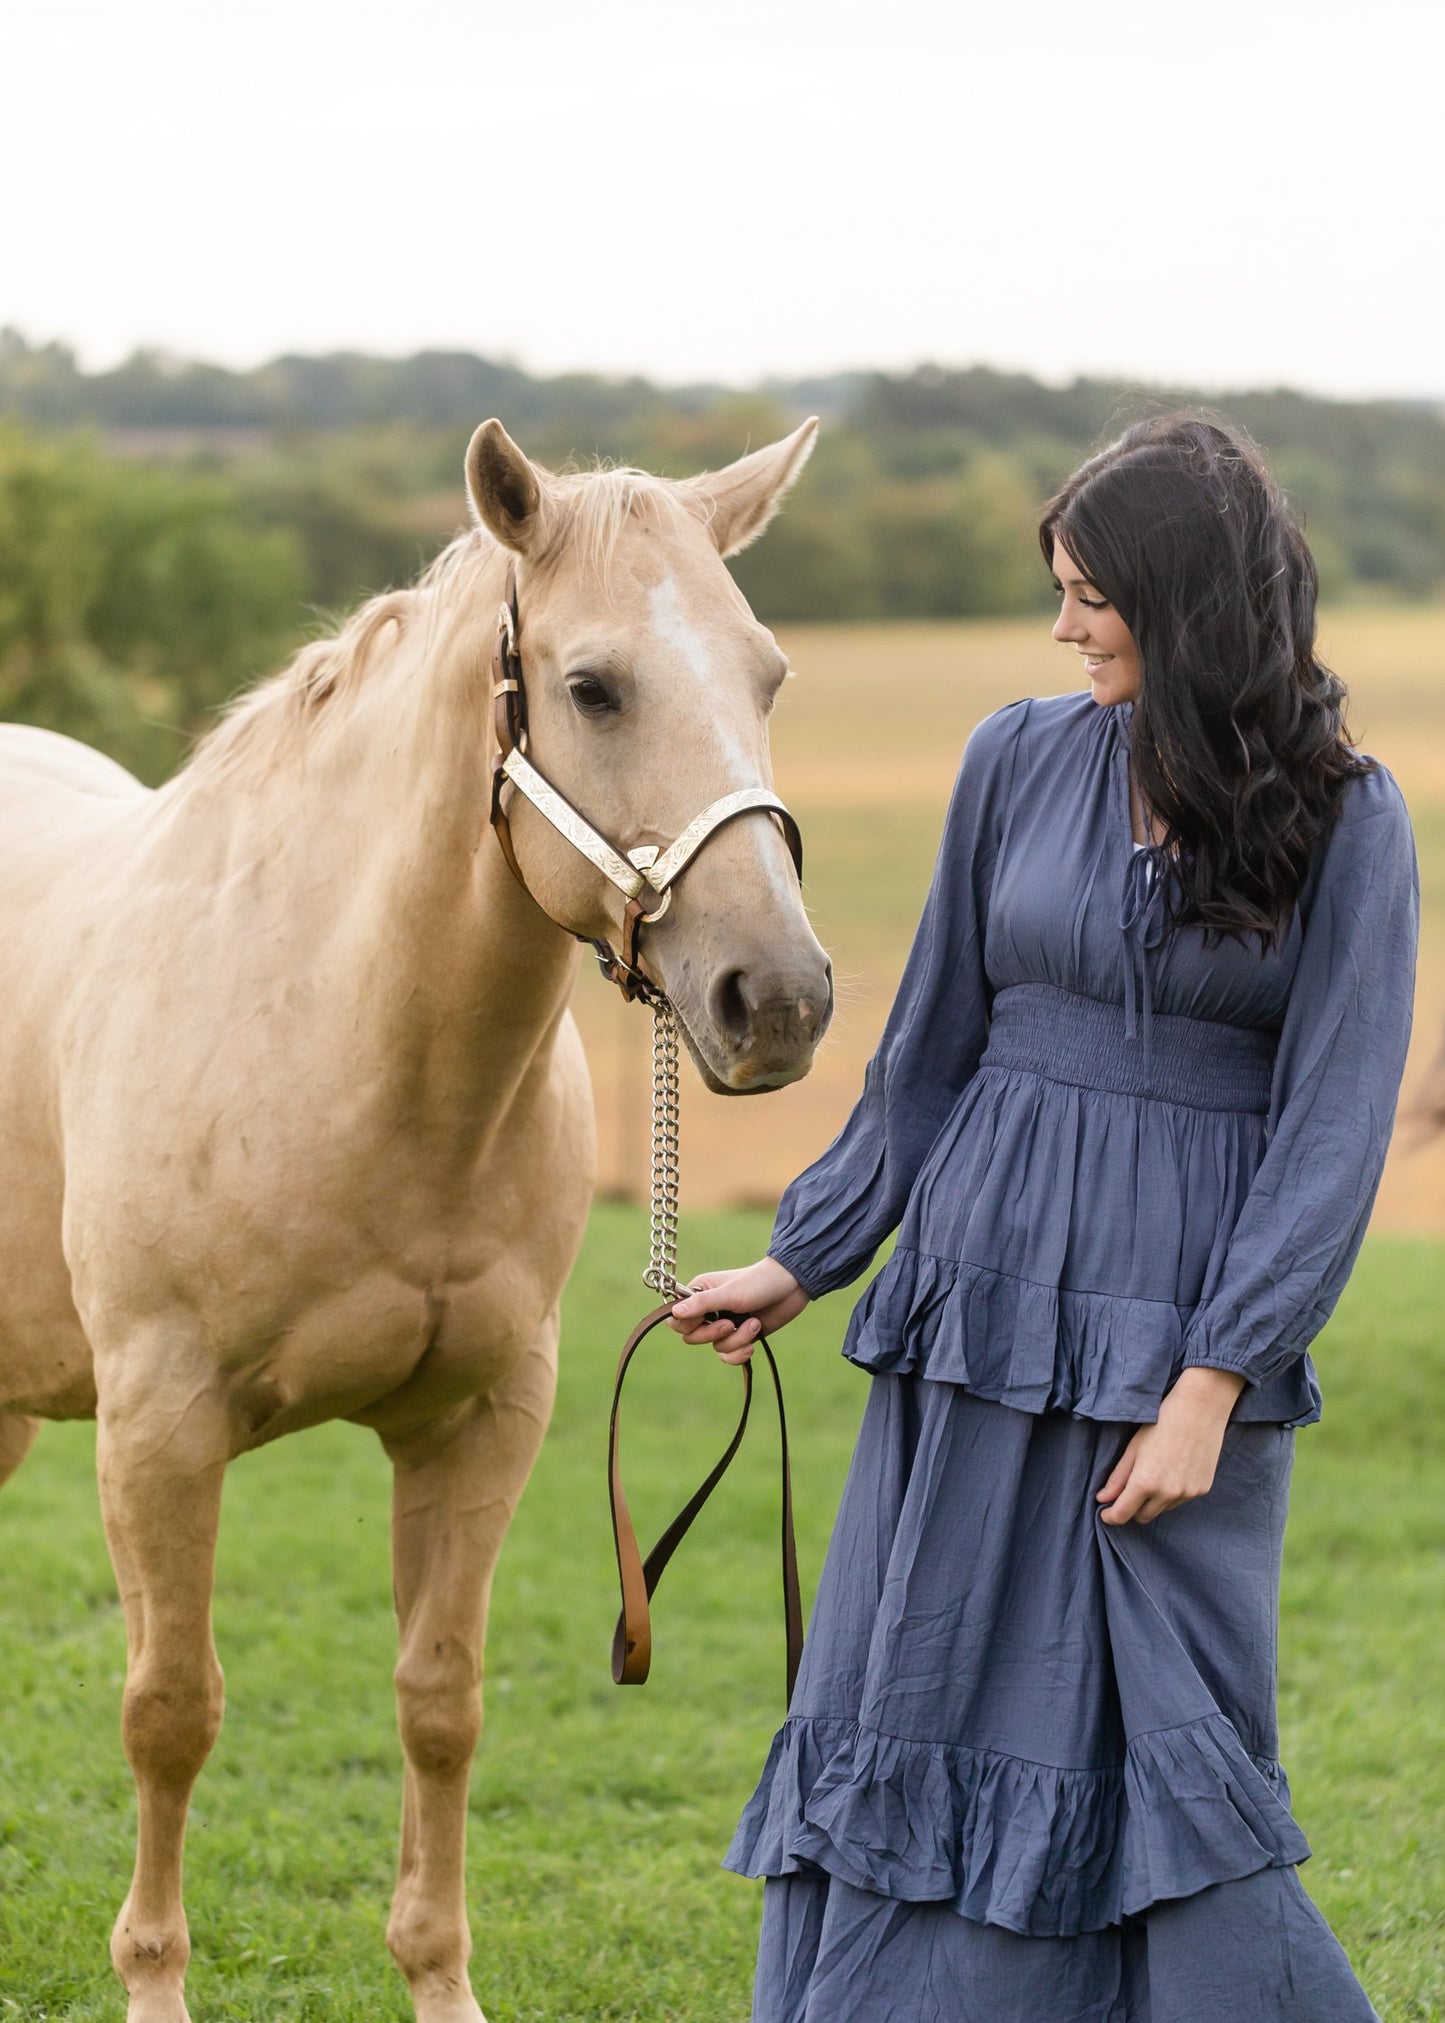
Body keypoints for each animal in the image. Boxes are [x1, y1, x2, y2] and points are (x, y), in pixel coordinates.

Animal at [0, 418, 825, 2014]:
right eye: (593, 686)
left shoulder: (480, 1417)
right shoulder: (159, 1426)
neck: (335, 1031)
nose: (778, 997)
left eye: (767, 675)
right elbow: (168, 1708)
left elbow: (440, 1700)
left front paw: (440, 1979)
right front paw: (153, 1981)